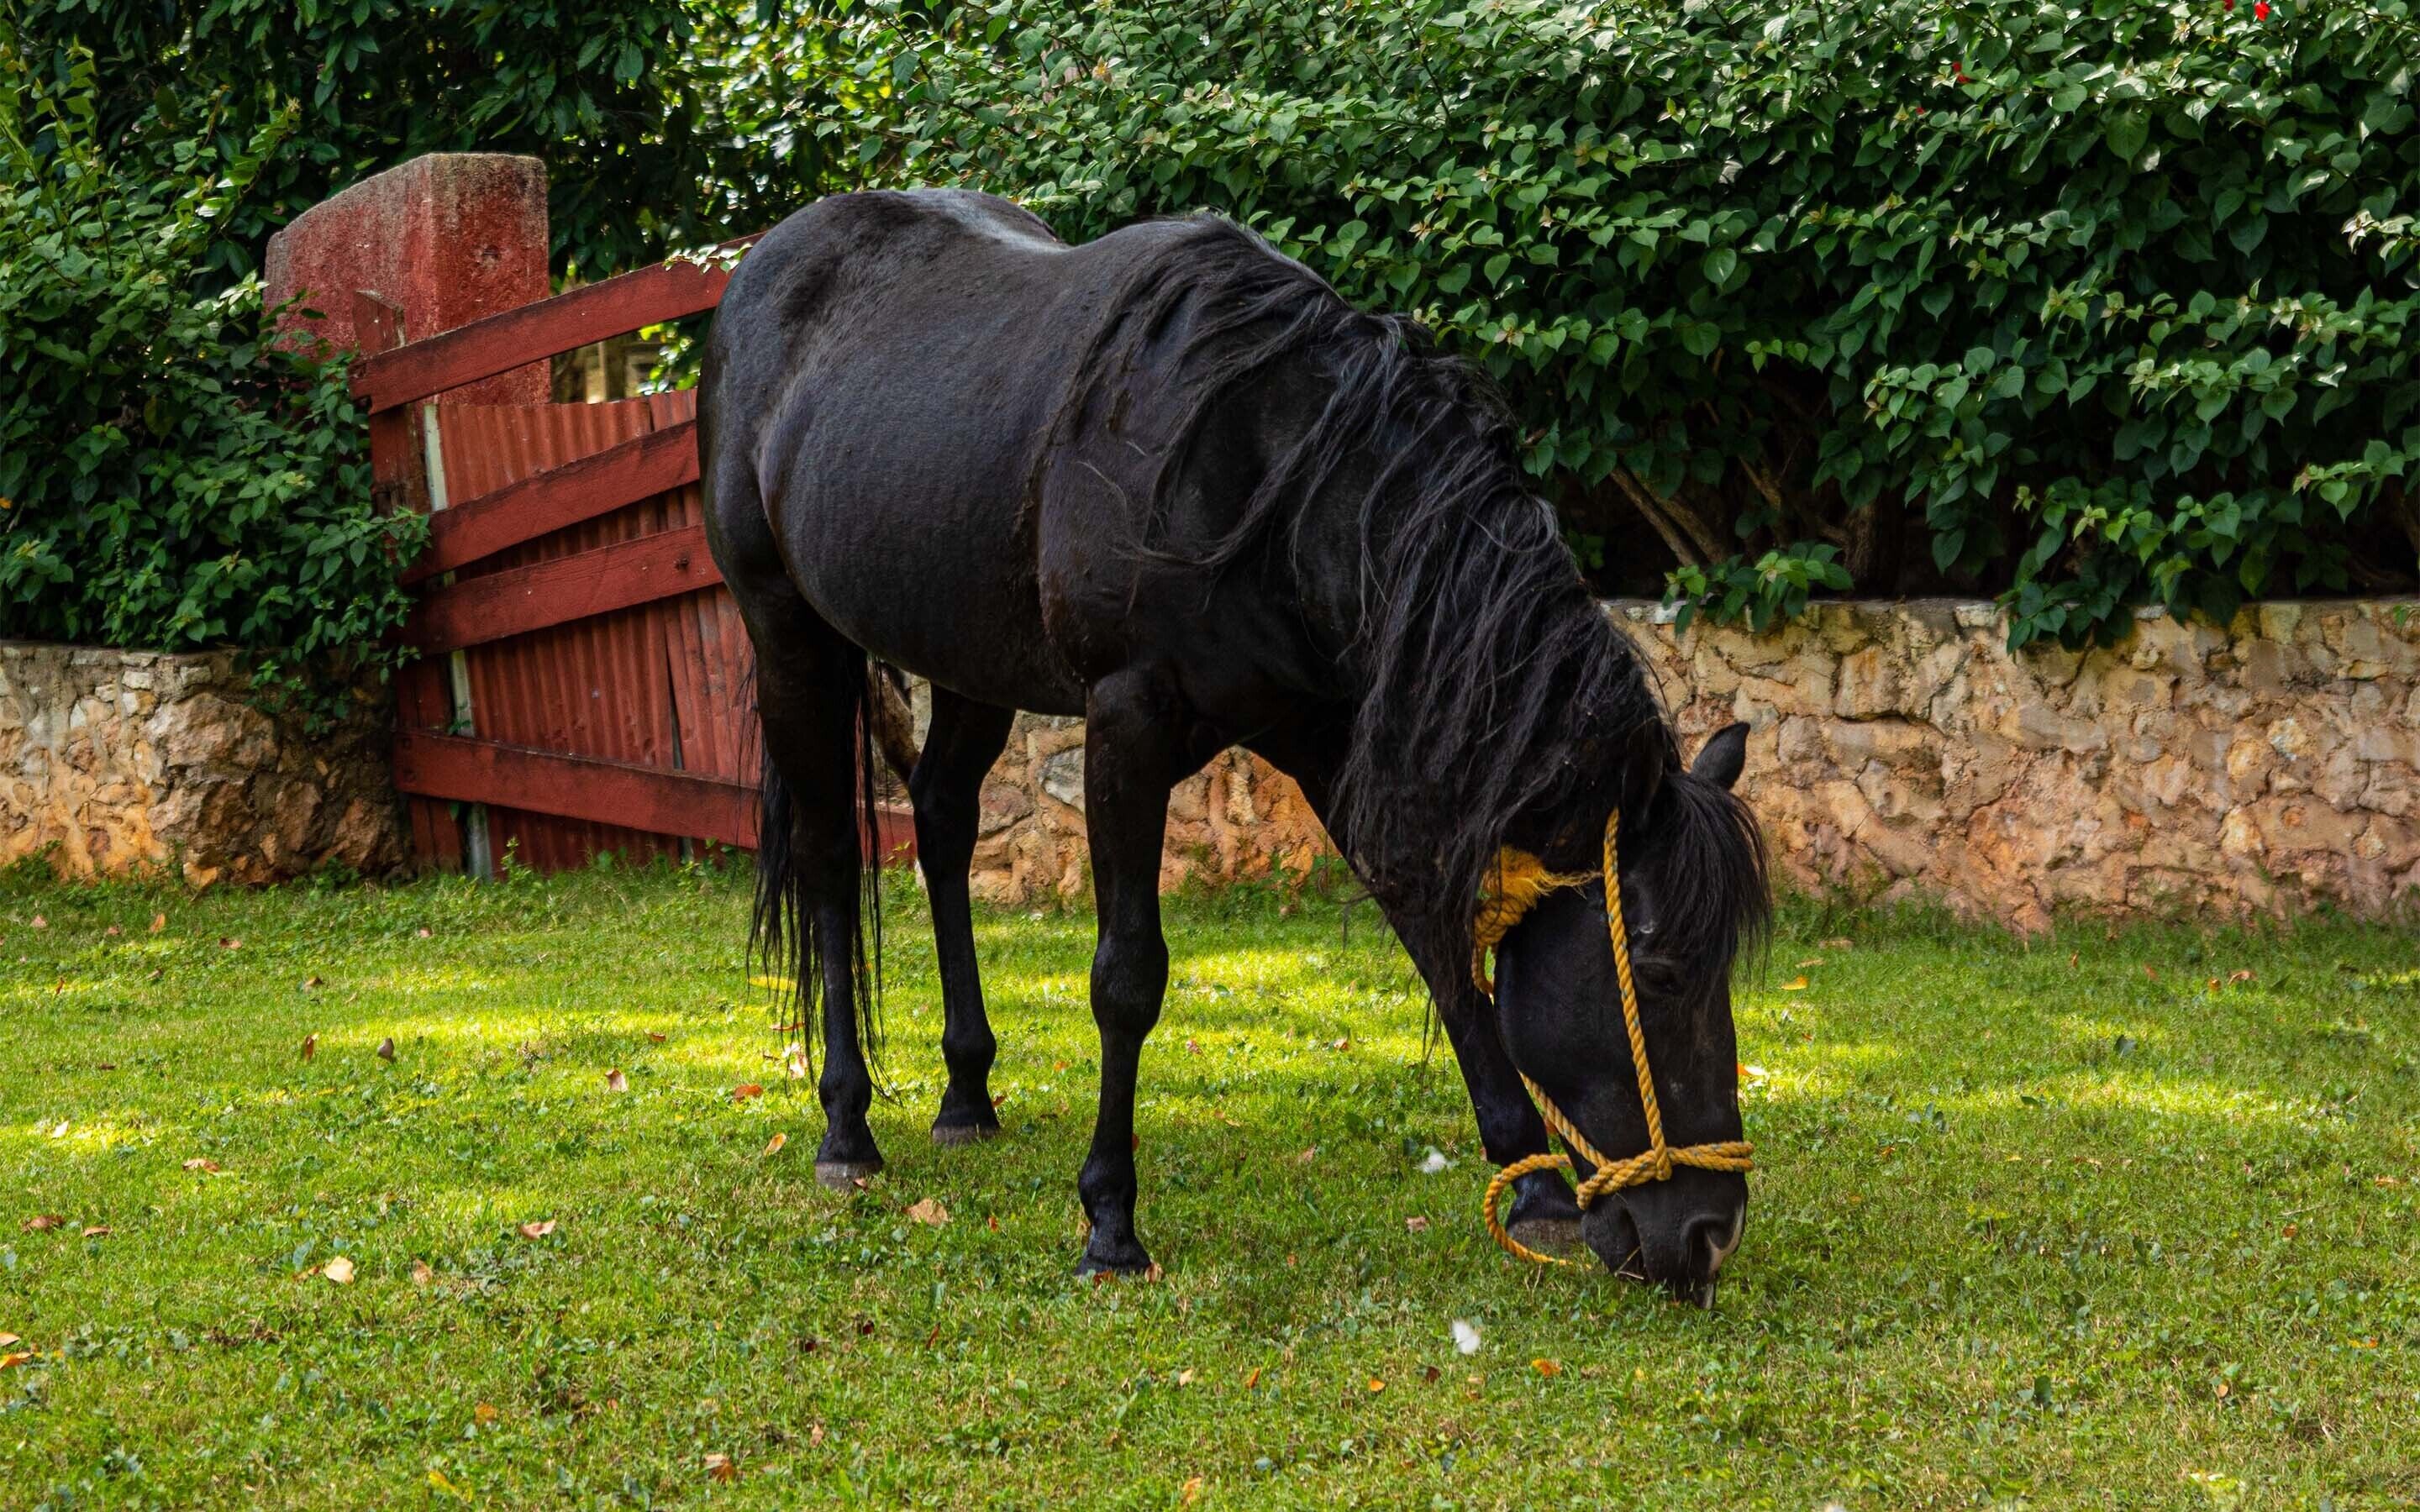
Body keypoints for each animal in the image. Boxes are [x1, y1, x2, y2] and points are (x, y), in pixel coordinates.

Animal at [698, 189, 1769, 1300]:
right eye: (1660, 972)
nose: (1710, 1233)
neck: (1278, 479)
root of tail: (761, 267)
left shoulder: (1324, 735)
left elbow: (1434, 939)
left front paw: (1538, 1190)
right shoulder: (1127, 724)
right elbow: (1127, 977)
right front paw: (1110, 1222)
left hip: (964, 660)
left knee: (944, 827)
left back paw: (966, 1096)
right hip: (789, 634)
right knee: (829, 857)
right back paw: (846, 1125)